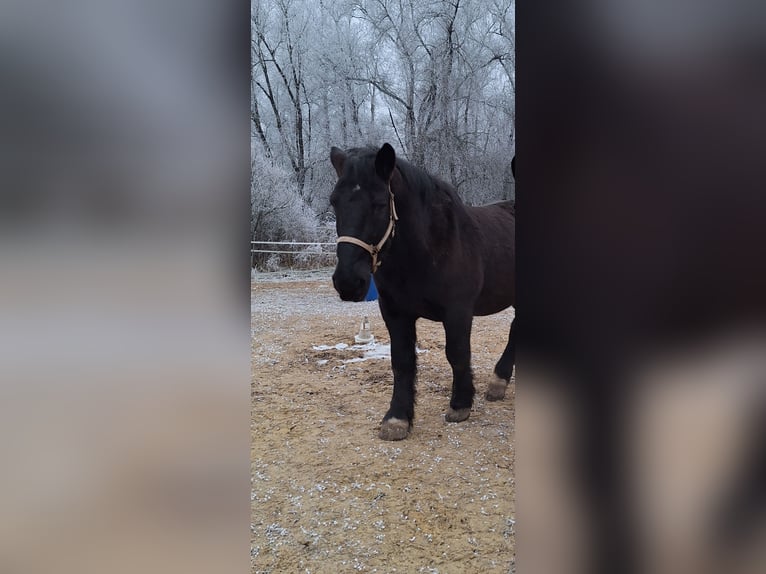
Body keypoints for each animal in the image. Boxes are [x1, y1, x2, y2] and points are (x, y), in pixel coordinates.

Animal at [329, 143, 515, 441]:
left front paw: (460, 405)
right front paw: (397, 418)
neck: (428, 249)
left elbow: (457, 354)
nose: (347, 282)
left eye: (379, 203)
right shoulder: (395, 313)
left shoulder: (458, 311)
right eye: (334, 202)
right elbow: (402, 361)